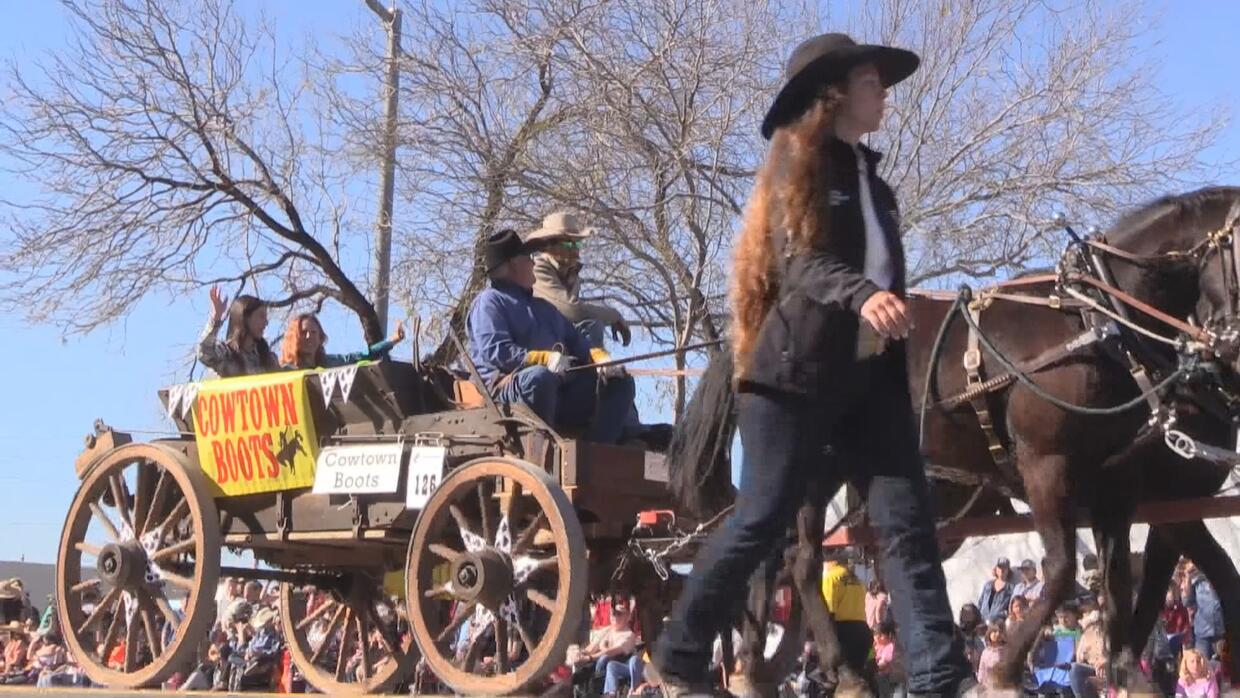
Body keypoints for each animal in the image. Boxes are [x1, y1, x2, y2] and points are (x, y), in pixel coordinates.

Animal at [674, 185, 1240, 689]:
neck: (1094, 320)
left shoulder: (1118, 483)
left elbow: (1120, 578)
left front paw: (1126, 671)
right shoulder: (1049, 465)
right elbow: (1062, 570)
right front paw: (1006, 672)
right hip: (815, 462)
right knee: (802, 559)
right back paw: (830, 669)